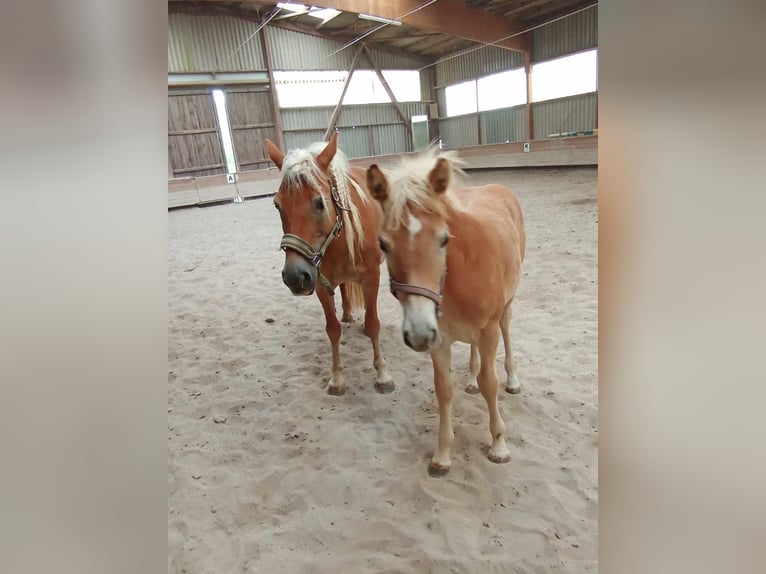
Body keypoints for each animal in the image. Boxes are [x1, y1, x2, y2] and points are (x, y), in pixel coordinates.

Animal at [266, 134, 396, 396]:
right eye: (277, 205)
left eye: (319, 202)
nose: (294, 276)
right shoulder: (318, 284)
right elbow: (333, 329)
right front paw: (336, 379)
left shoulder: (372, 276)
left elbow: (374, 324)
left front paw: (382, 376)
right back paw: (346, 313)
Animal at [368, 152, 528, 476]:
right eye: (383, 244)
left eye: (444, 239)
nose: (418, 333)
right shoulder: (439, 340)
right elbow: (443, 390)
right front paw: (442, 455)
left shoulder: (488, 331)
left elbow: (490, 383)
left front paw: (499, 446)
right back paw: (470, 379)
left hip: (505, 308)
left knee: (506, 331)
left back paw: (513, 380)